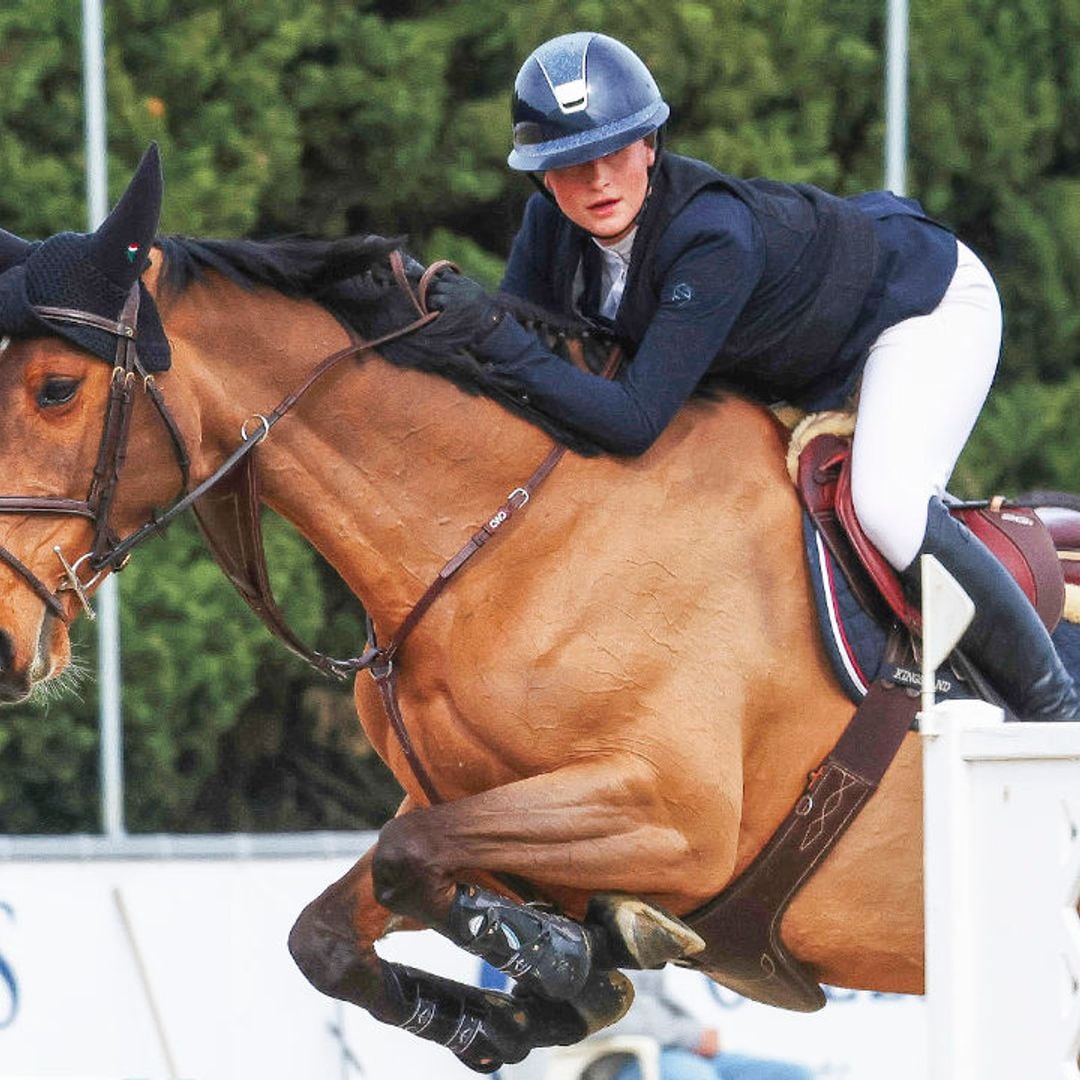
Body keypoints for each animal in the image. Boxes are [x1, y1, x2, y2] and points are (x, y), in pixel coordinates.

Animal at [0, 143, 959, 1071]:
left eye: (55, 388)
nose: (5, 644)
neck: (510, 541)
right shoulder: (467, 801)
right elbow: (331, 930)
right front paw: (536, 1004)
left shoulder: (676, 820)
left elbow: (411, 860)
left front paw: (576, 961)